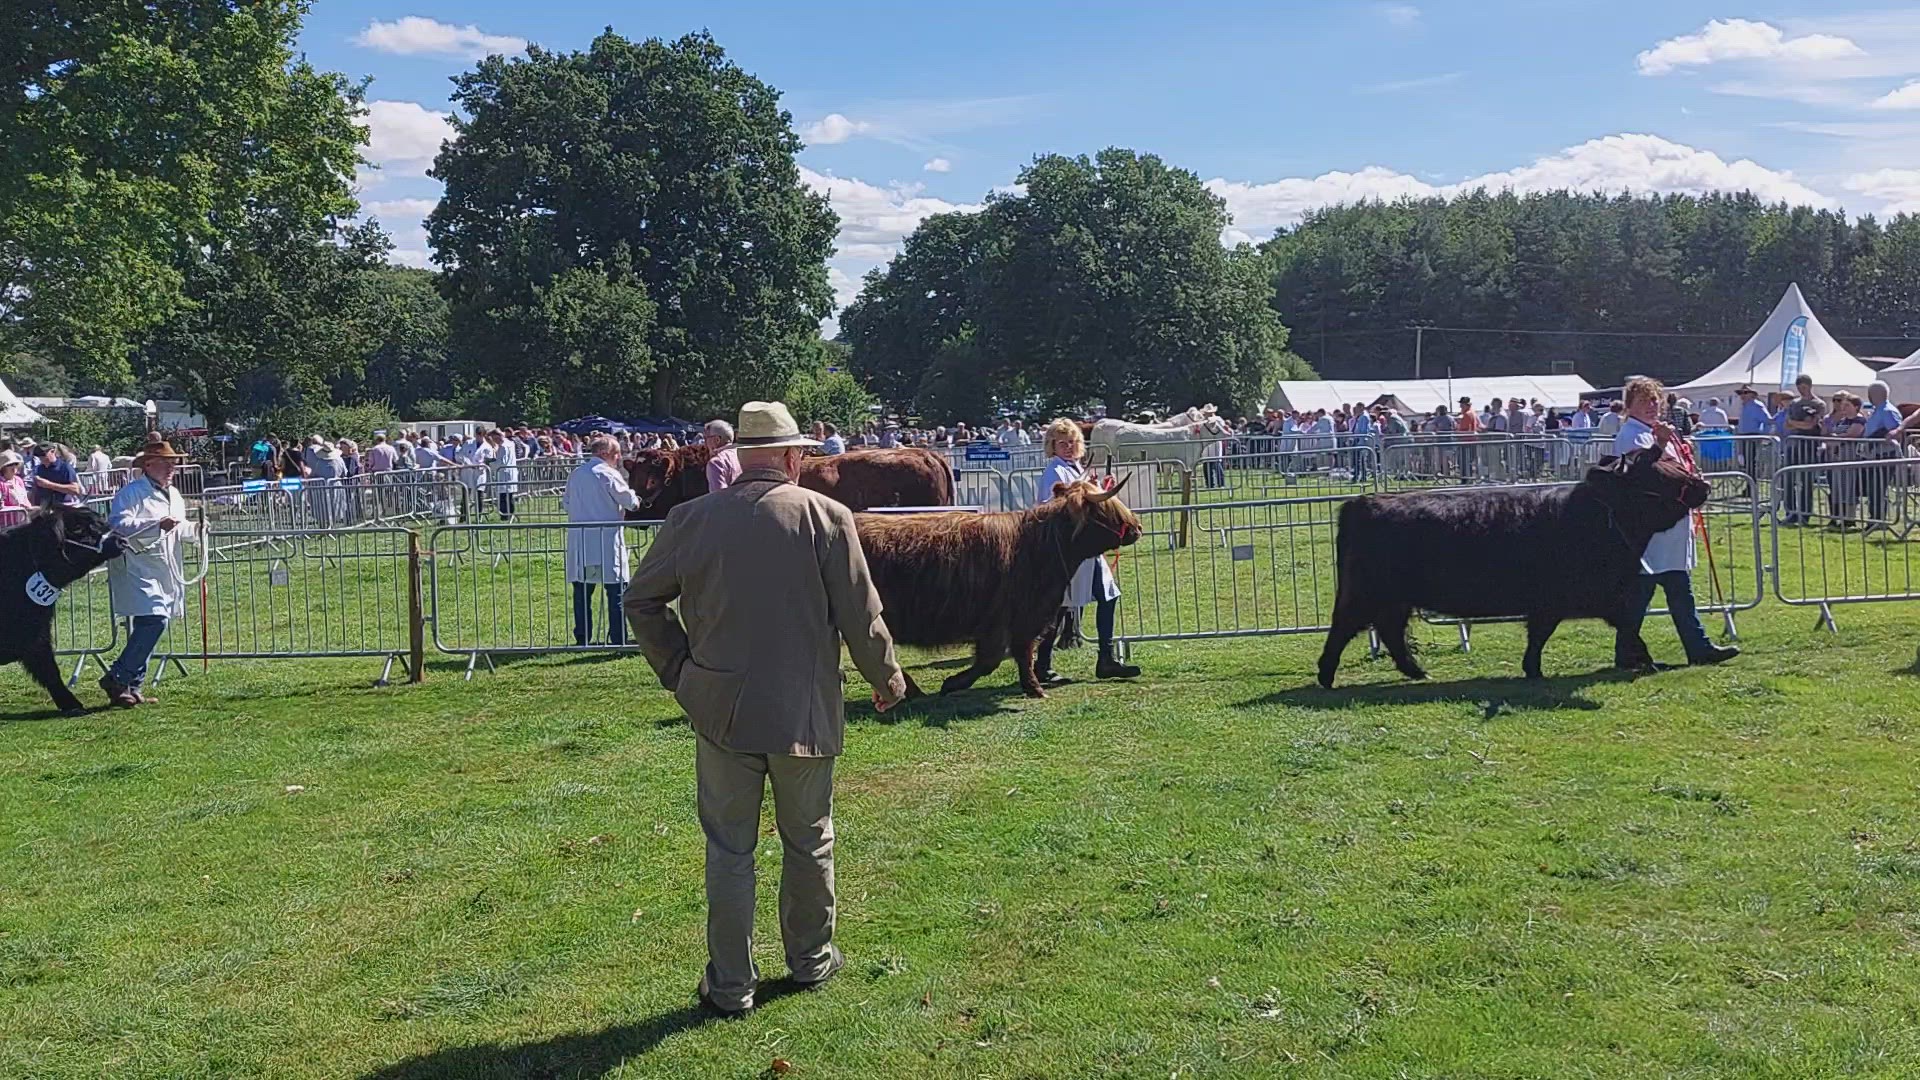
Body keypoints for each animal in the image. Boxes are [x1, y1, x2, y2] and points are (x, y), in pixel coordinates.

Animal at [0, 507, 125, 715]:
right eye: (78, 529)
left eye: (103, 522)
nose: (121, 540)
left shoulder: (38, 633)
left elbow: (49, 669)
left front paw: (71, 704)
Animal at [855, 477, 1141, 698]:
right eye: (1108, 511)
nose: (1137, 527)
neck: (1039, 546)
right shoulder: (1009, 618)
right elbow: (996, 659)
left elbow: (1016, 655)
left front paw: (1031, 686)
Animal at [1317, 446, 1710, 688]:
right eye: (1656, 472)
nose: (1703, 484)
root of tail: (1362, 502)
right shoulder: (1569, 598)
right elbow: (1618, 629)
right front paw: (1646, 661)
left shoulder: (1585, 599)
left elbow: (1604, 629)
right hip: (1365, 593)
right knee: (1344, 628)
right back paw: (1326, 676)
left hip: (1393, 599)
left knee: (1390, 631)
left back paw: (1416, 671)